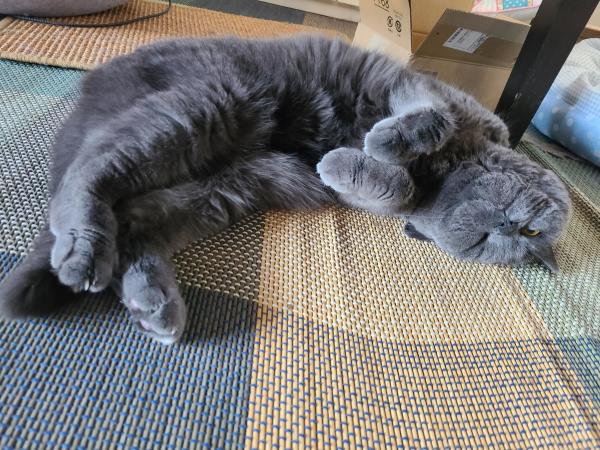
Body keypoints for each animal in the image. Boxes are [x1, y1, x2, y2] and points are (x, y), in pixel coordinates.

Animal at [0, 36, 568, 344]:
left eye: (508, 240)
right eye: (528, 231)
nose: (509, 227)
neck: (448, 171)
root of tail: (92, 86)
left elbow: (395, 188)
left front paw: (346, 162)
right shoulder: (417, 90)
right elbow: (430, 120)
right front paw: (384, 144)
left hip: (224, 188)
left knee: (135, 222)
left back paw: (154, 303)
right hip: (209, 103)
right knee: (91, 168)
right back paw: (83, 253)